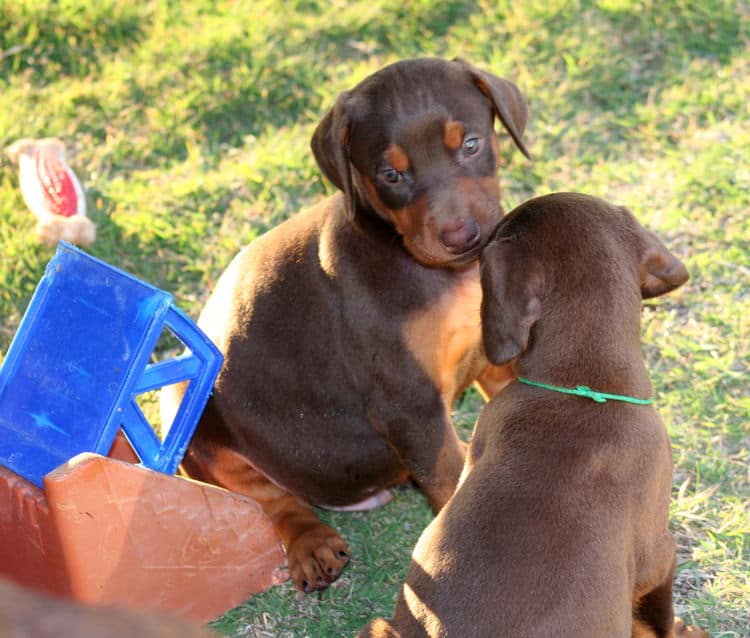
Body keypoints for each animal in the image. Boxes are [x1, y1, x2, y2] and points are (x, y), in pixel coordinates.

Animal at [162, 57, 532, 592]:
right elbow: (446, 476)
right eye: (391, 174)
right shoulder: (407, 404)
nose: (461, 236)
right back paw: (311, 544)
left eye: (471, 144)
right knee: (272, 498)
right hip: (189, 411)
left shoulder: (490, 352)